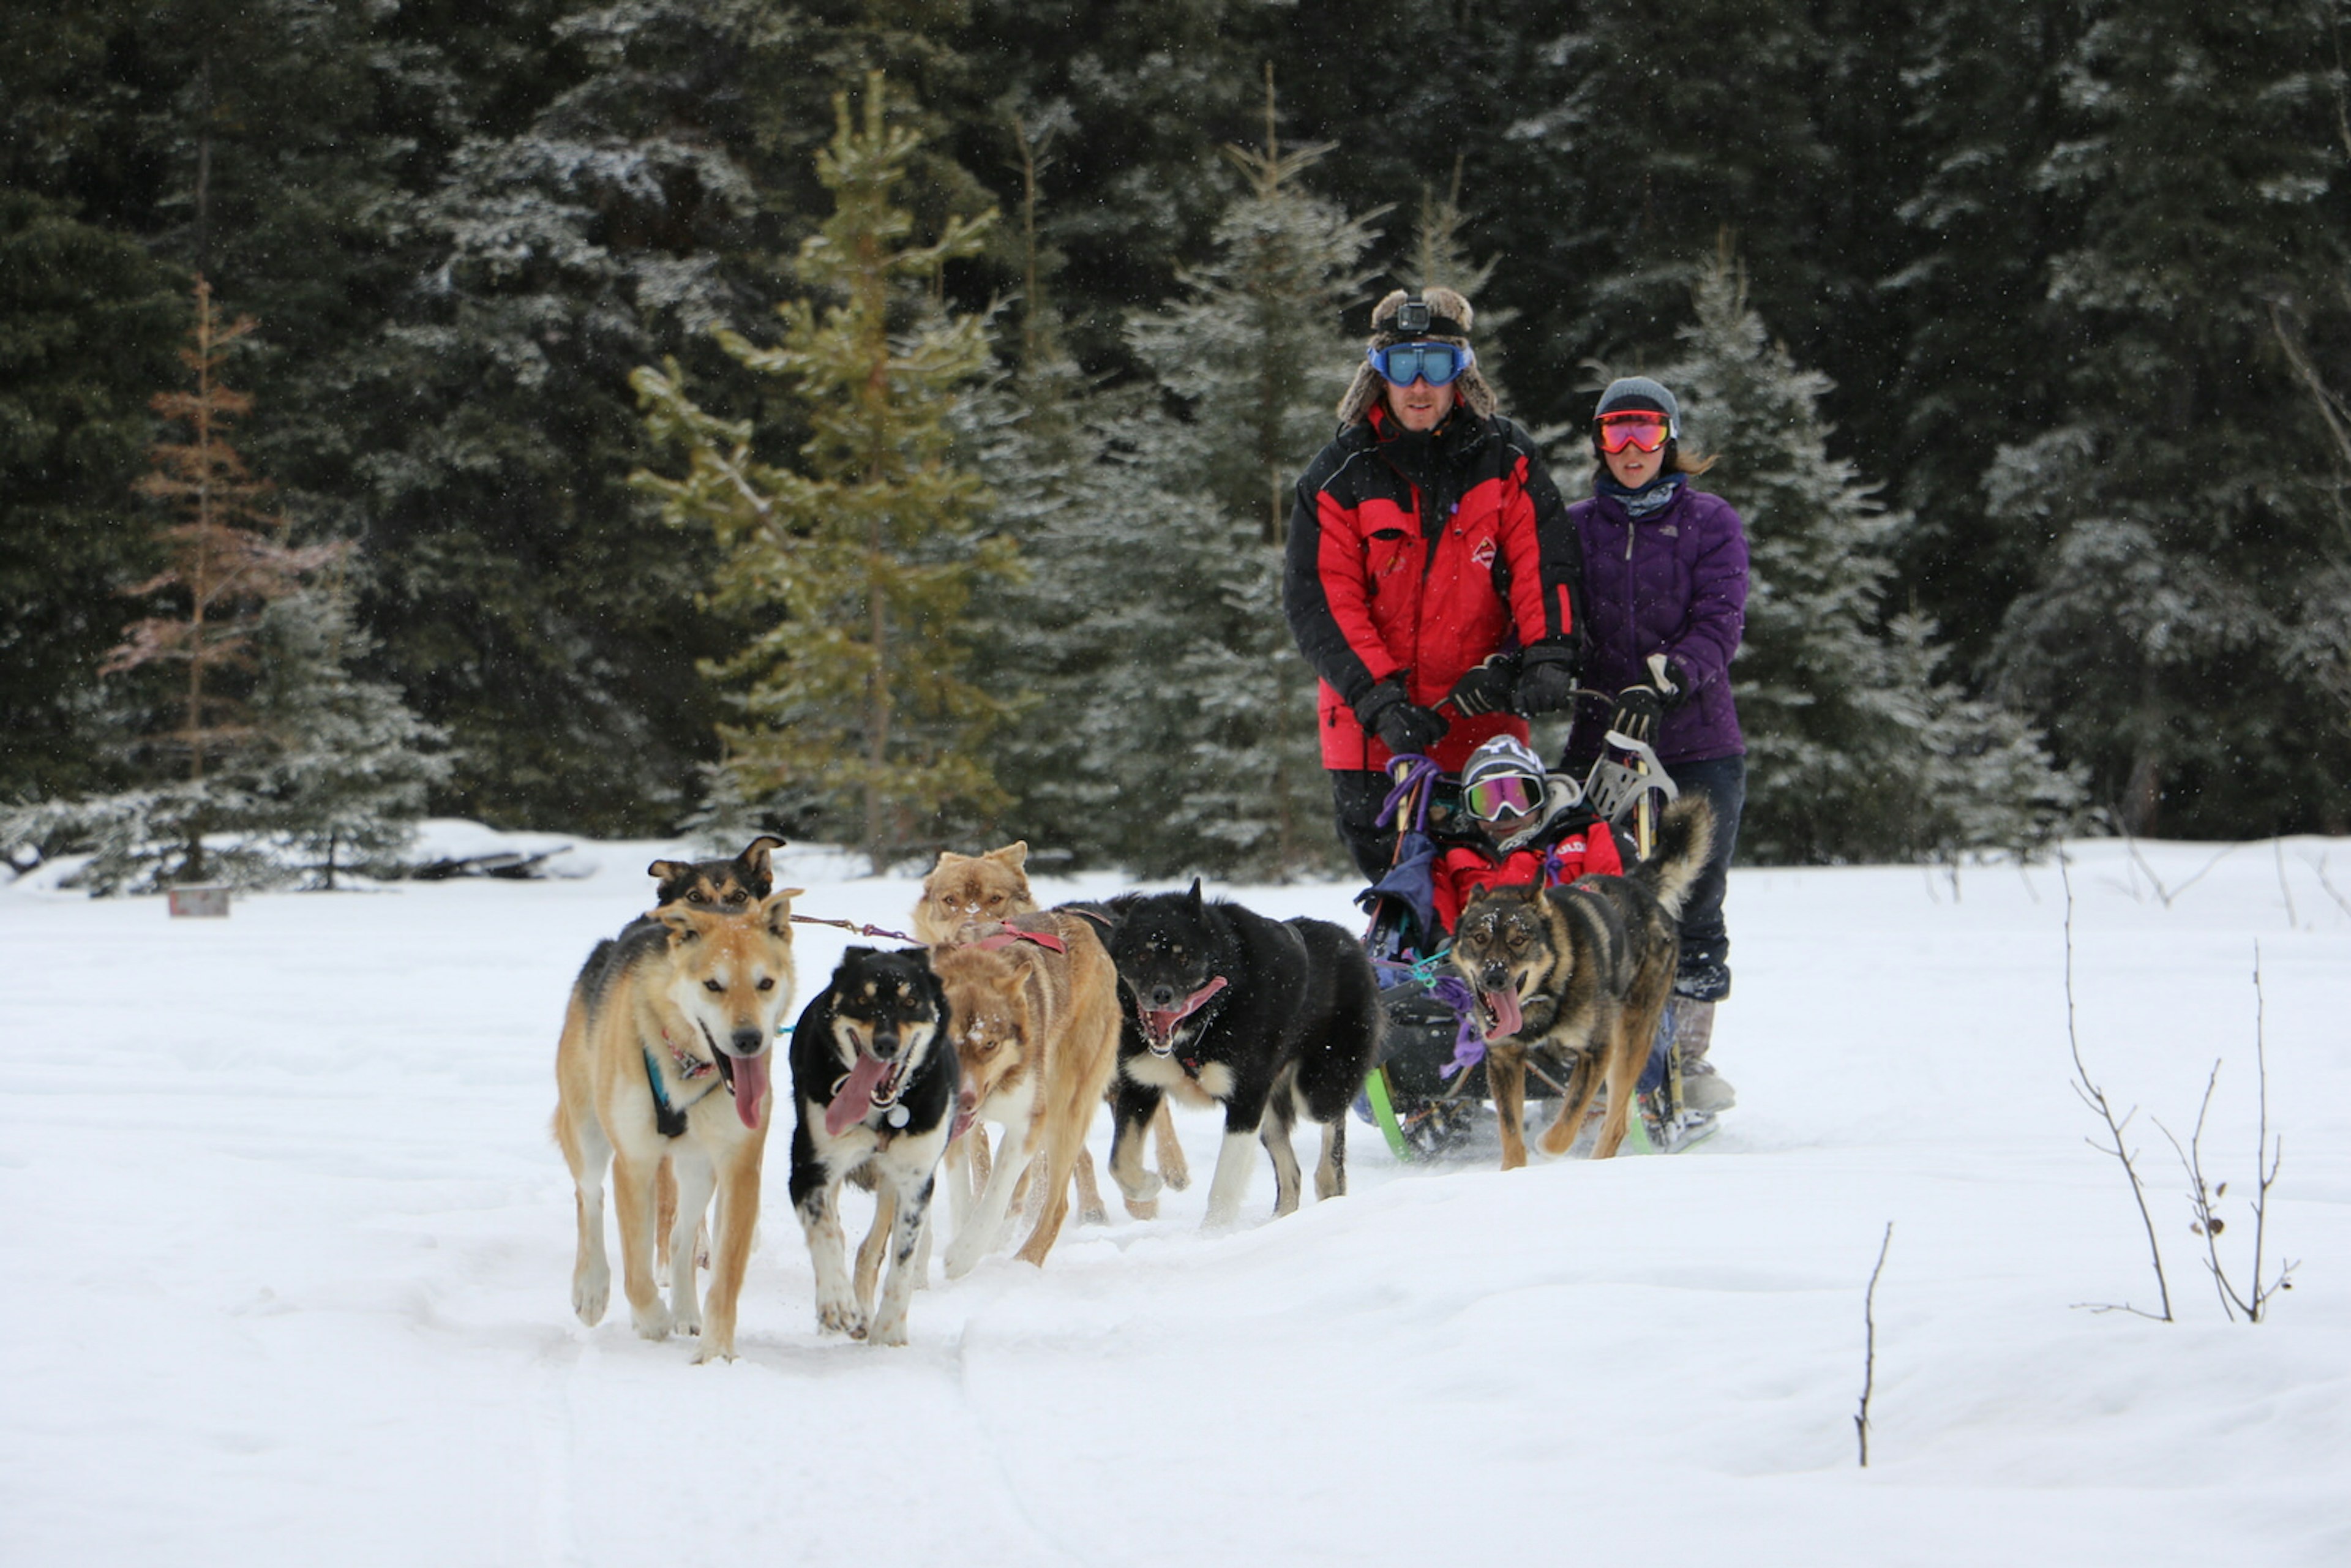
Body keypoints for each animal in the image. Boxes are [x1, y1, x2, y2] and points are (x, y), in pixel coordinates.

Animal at [552, 893, 804, 1363]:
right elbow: (636, 1271)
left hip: (697, 1167)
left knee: (681, 1237)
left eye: (765, 983)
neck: (688, 1064)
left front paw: (717, 1351)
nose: (749, 1039)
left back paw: (686, 1310)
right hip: (588, 1133)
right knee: (589, 1196)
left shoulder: (739, 1166)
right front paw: (651, 1320)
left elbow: (725, 1277)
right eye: (713, 985)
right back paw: (592, 1288)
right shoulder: (634, 1161)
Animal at [785, 945, 959, 1354]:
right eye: (862, 1000)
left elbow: (901, 1262)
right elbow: (825, 1234)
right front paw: (836, 1302)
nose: (886, 1044)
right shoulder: (809, 1171)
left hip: (890, 1186)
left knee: (871, 1249)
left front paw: (889, 1333)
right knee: (836, 1230)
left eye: (911, 1002)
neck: (884, 1115)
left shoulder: (915, 1182)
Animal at [1448, 799, 1711, 1166]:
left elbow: (1566, 1121)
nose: (1494, 976)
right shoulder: (1504, 1058)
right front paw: (1513, 1169)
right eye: (1479, 938)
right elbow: (1511, 1131)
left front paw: (1547, 1146)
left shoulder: (1596, 1050)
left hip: (1630, 1041)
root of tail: (1638, 888)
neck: (1546, 993)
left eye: (1519, 941)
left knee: (1617, 1122)